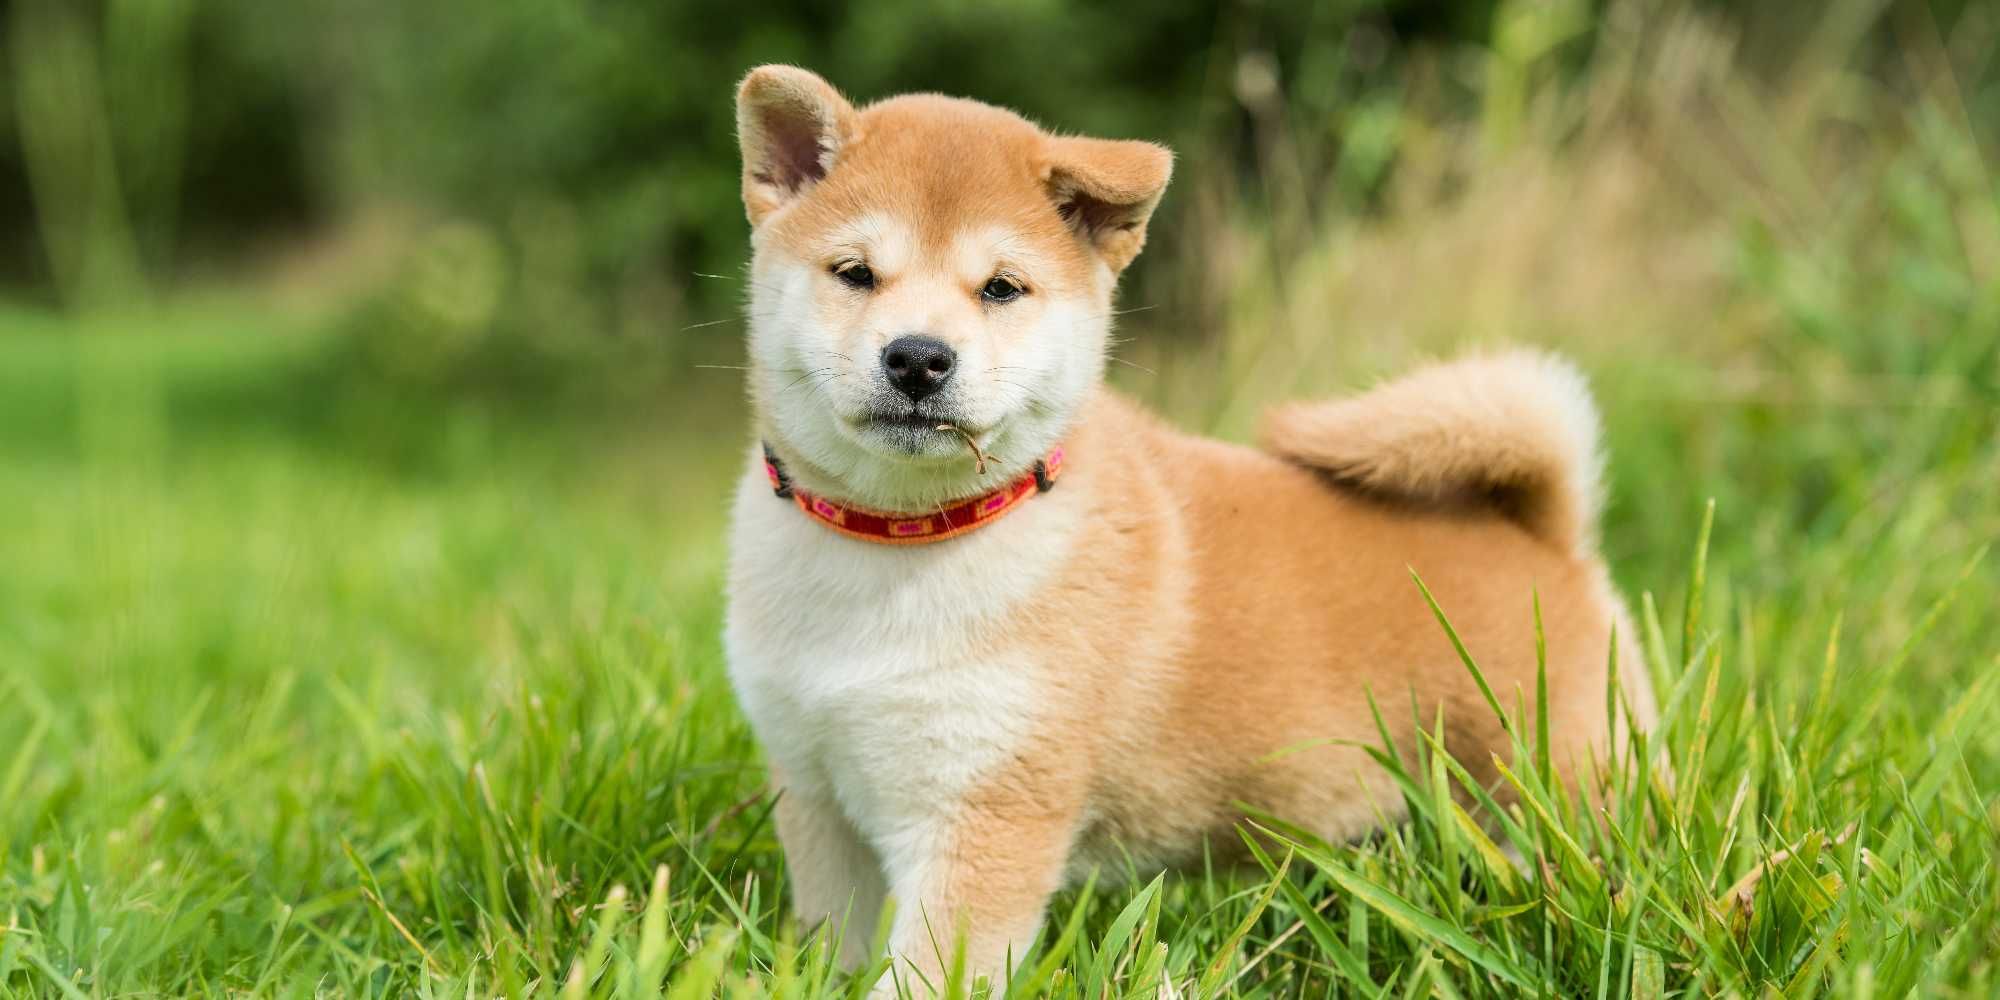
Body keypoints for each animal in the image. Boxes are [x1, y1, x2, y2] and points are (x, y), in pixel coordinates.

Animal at [720, 66, 1656, 996]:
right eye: (855, 273)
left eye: (1001, 288)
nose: (918, 357)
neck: (895, 542)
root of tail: (1542, 533)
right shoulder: (816, 794)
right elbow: (833, 946)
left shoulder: (988, 808)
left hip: (1555, 783)